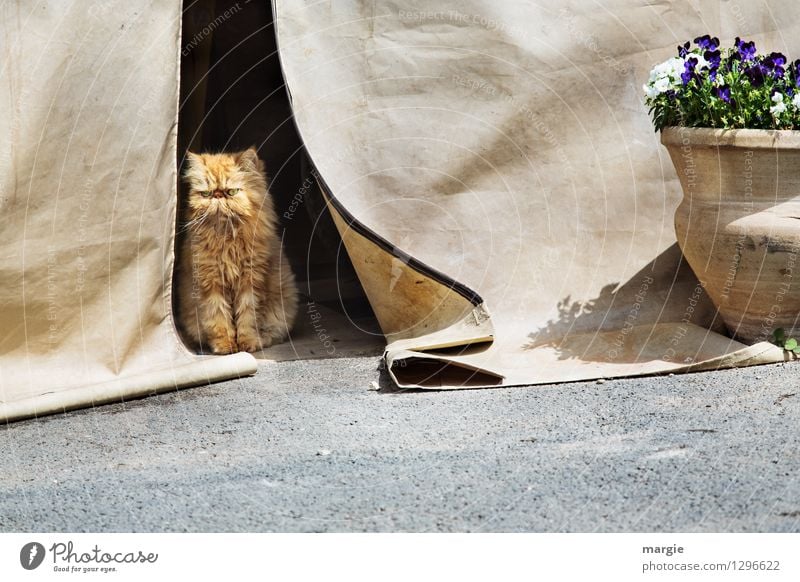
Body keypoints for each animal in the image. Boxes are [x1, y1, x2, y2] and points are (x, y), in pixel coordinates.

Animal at [177, 148, 298, 354]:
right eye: (206, 194)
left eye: (231, 192)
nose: (218, 196)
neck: (227, 240)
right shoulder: (211, 284)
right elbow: (219, 319)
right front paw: (225, 346)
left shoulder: (252, 282)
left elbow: (248, 318)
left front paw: (247, 343)